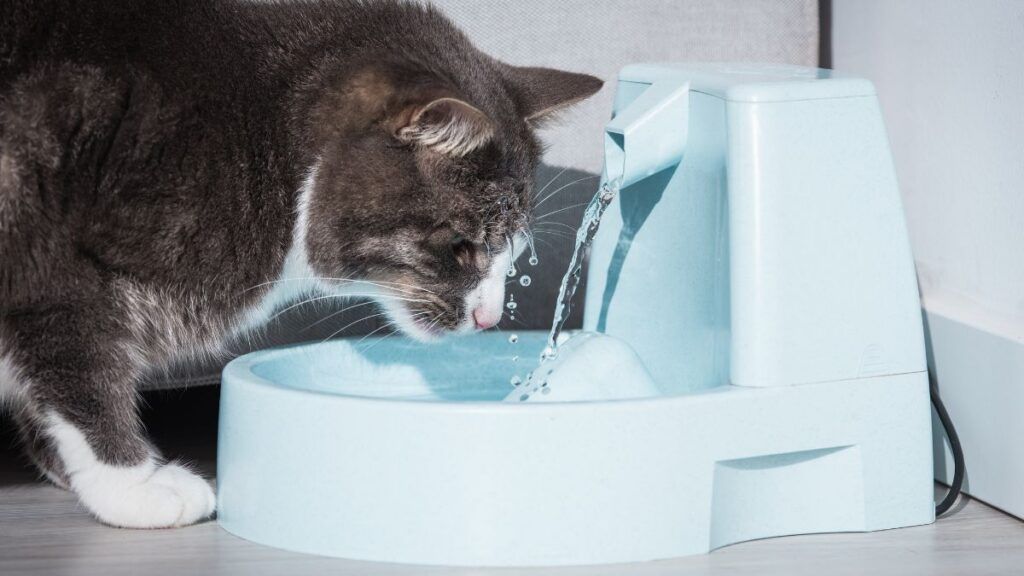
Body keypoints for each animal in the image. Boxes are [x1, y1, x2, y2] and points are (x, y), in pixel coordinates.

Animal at [0, 0, 602, 524]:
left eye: (513, 250)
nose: (489, 317)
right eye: (462, 246)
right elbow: (79, 368)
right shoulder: (51, 255)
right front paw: (132, 486)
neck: (263, 133)